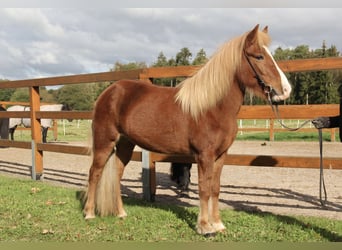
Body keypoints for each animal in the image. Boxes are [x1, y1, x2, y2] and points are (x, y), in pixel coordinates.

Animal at [83, 24, 292, 235]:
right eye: (259, 56)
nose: (285, 90)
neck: (212, 108)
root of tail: (109, 92)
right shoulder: (204, 156)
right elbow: (204, 189)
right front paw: (204, 226)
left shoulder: (221, 156)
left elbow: (215, 188)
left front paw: (218, 224)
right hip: (104, 142)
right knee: (95, 173)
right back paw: (89, 213)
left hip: (126, 144)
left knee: (117, 174)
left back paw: (121, 213)